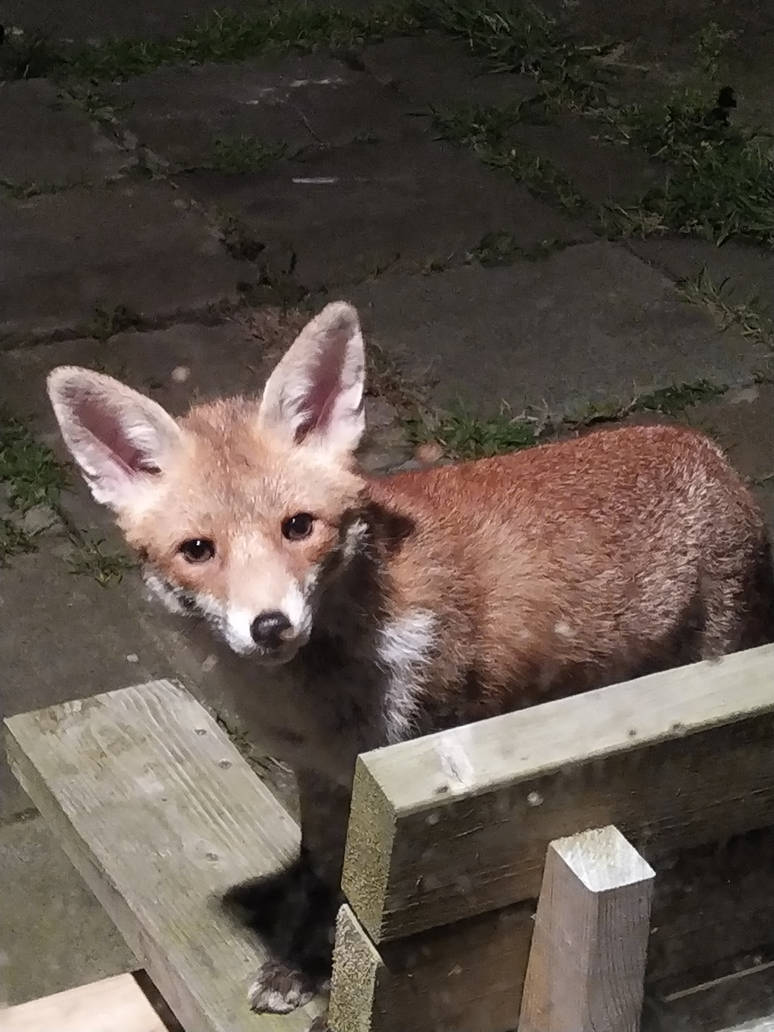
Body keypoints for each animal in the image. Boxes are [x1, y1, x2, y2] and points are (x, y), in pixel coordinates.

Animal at [47, 300, 774, 1022]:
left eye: (298, 527)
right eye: (198, 550)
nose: (271, 625)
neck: (318, 702)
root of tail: (710, 451)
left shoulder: (411, 771)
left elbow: (357, 899)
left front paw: (321, 979)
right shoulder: (323, 774)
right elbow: (319, 874)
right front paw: (297, 961)